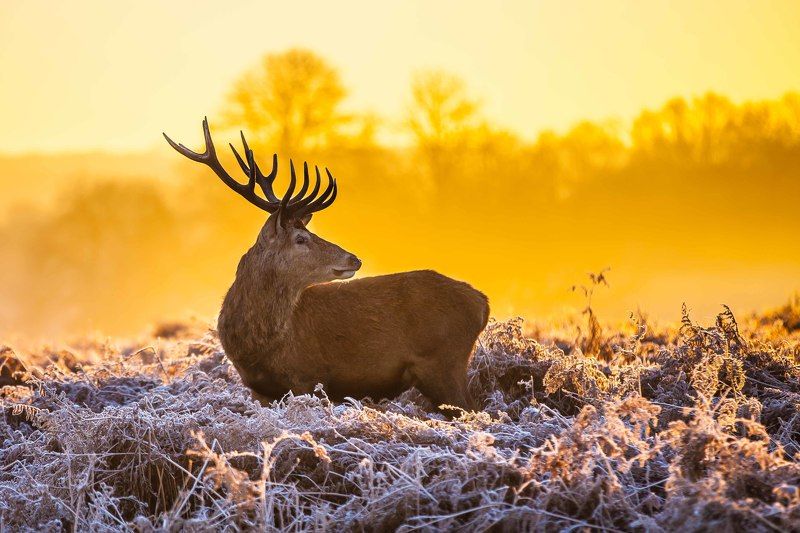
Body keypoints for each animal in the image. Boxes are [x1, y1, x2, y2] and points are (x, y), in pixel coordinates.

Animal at [163, 118, 489, 413]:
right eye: (301, 238)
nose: (354, 258)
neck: (258, 346)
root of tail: (481, 302)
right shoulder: (259, 390)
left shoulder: (308, 378)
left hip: (444, 363)